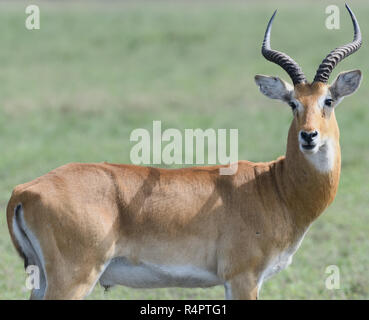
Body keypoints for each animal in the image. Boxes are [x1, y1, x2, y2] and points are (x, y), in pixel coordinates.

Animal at [7, 4, 360, 300]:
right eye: (293, 103)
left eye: (328, 100)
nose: (309, 136)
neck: (275, 187)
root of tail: (24, 191)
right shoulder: (243, 278)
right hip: (73, 280)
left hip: (42, 280)